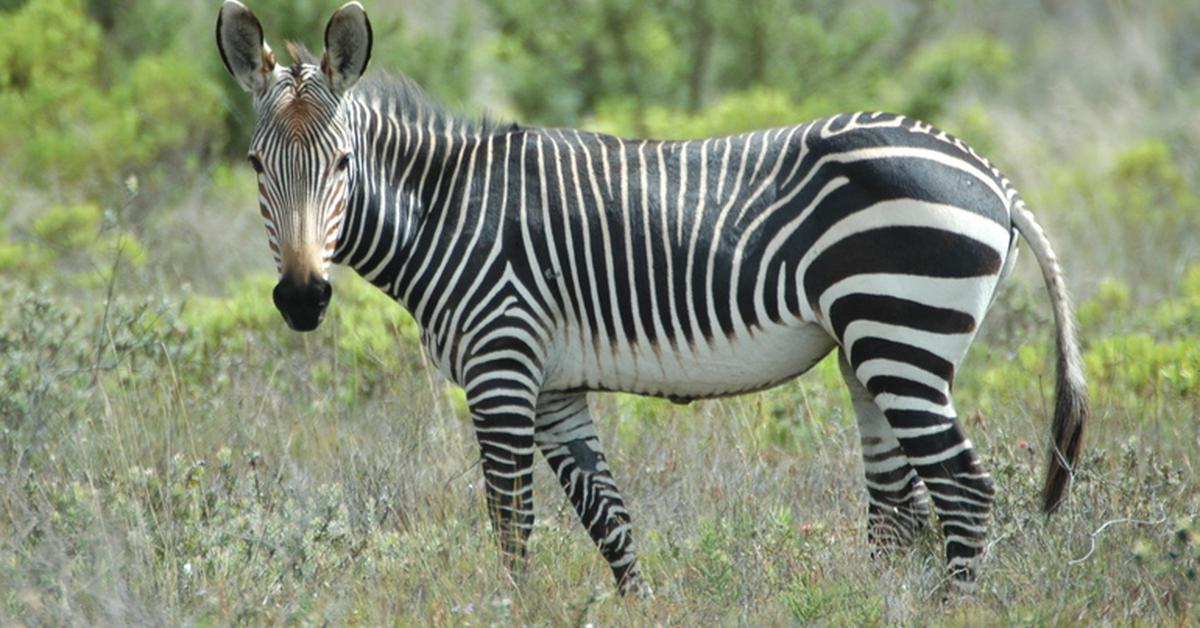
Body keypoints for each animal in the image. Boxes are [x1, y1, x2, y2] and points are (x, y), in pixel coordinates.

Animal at [216, 0, 1089, 597]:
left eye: (341, 165)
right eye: (257, 166)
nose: (302, 300)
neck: (446, 212)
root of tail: (987, 170)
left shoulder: (502, 369)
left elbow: (511, 527)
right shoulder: (555, 388)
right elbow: (609, 521)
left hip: (902, 335)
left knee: (964, 494)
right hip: (869, 351)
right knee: (896, 507)